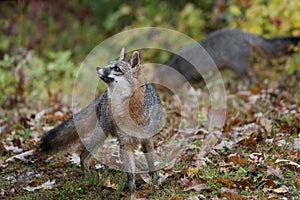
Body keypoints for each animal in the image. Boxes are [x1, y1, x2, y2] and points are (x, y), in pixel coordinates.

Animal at [39, 48, 163, 194]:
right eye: (109, 64)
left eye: (116, 68)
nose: (98, 68)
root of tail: (102, 95)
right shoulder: (126, 142)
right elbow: (130, 175)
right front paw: (131, 192)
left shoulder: (147, 140)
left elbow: (151, 165)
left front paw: (153, 181)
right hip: (101, 135)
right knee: (83, 156)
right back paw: (90, 180)